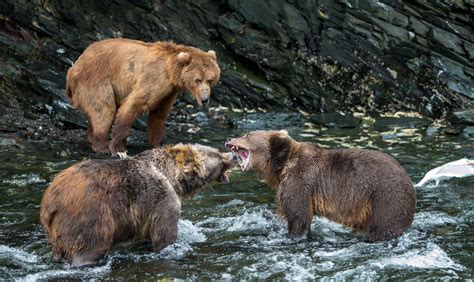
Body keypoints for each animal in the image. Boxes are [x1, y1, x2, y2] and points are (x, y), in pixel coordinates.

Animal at [39, 144, 236, 268]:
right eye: (218, 156)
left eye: (216, 151)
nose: (233, 154)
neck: (174, 179)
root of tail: (50, 200)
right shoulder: (162, 199)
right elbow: (165, 233)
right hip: (90, 212)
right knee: (91, 244)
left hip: (55, 232)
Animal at [66, 38, 220, 156]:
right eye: (197, 80)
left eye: (210, 80)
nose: (205, 99)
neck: (171, 72)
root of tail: (73, 68)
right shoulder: (153, 78)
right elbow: (132, 105)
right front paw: (119, 149)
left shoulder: (169, 92)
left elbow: (158, 115)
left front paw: (157, 143)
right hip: (95, 81)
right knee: (104, 110)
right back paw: (101, 146)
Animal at [226, 130, 414, 242]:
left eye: (247, 134)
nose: (228, 138)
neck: (281, 168)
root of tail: (408, 179)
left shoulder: (300, 181)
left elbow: (298, 216)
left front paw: (292, 236)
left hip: (385, 196)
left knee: (384, 226)